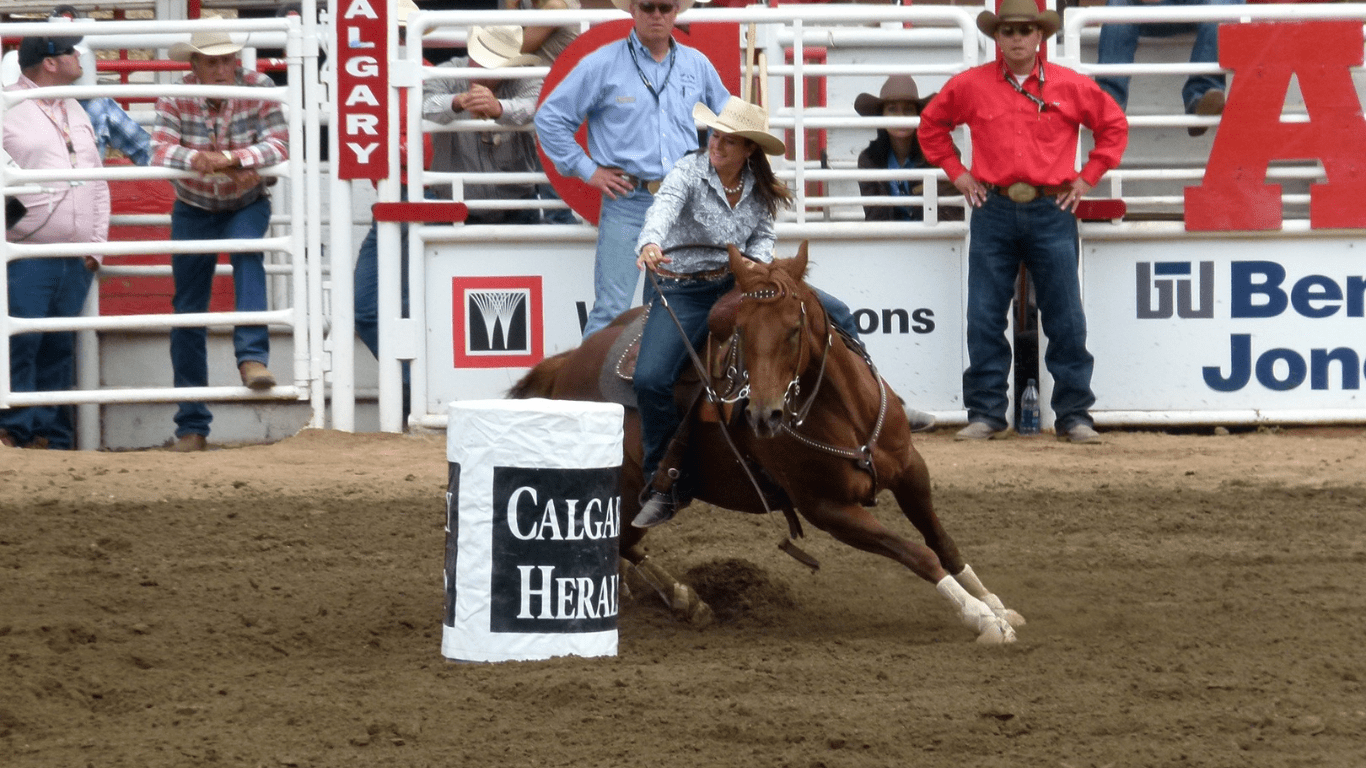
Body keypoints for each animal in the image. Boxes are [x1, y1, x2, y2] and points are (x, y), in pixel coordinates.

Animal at [513, 240, 1027, 639]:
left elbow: (942, 541)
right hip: (618, 486)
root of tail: (569, 362)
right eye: (740, 331)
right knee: (618, 541)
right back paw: (677, 597)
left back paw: (683, 598)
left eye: (795, 329)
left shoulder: (910, 471)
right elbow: (918, 553)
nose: (763, 415)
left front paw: (994, 603)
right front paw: (980, 618)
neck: (847, 414)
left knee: (625, 543)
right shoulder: (828, 509)